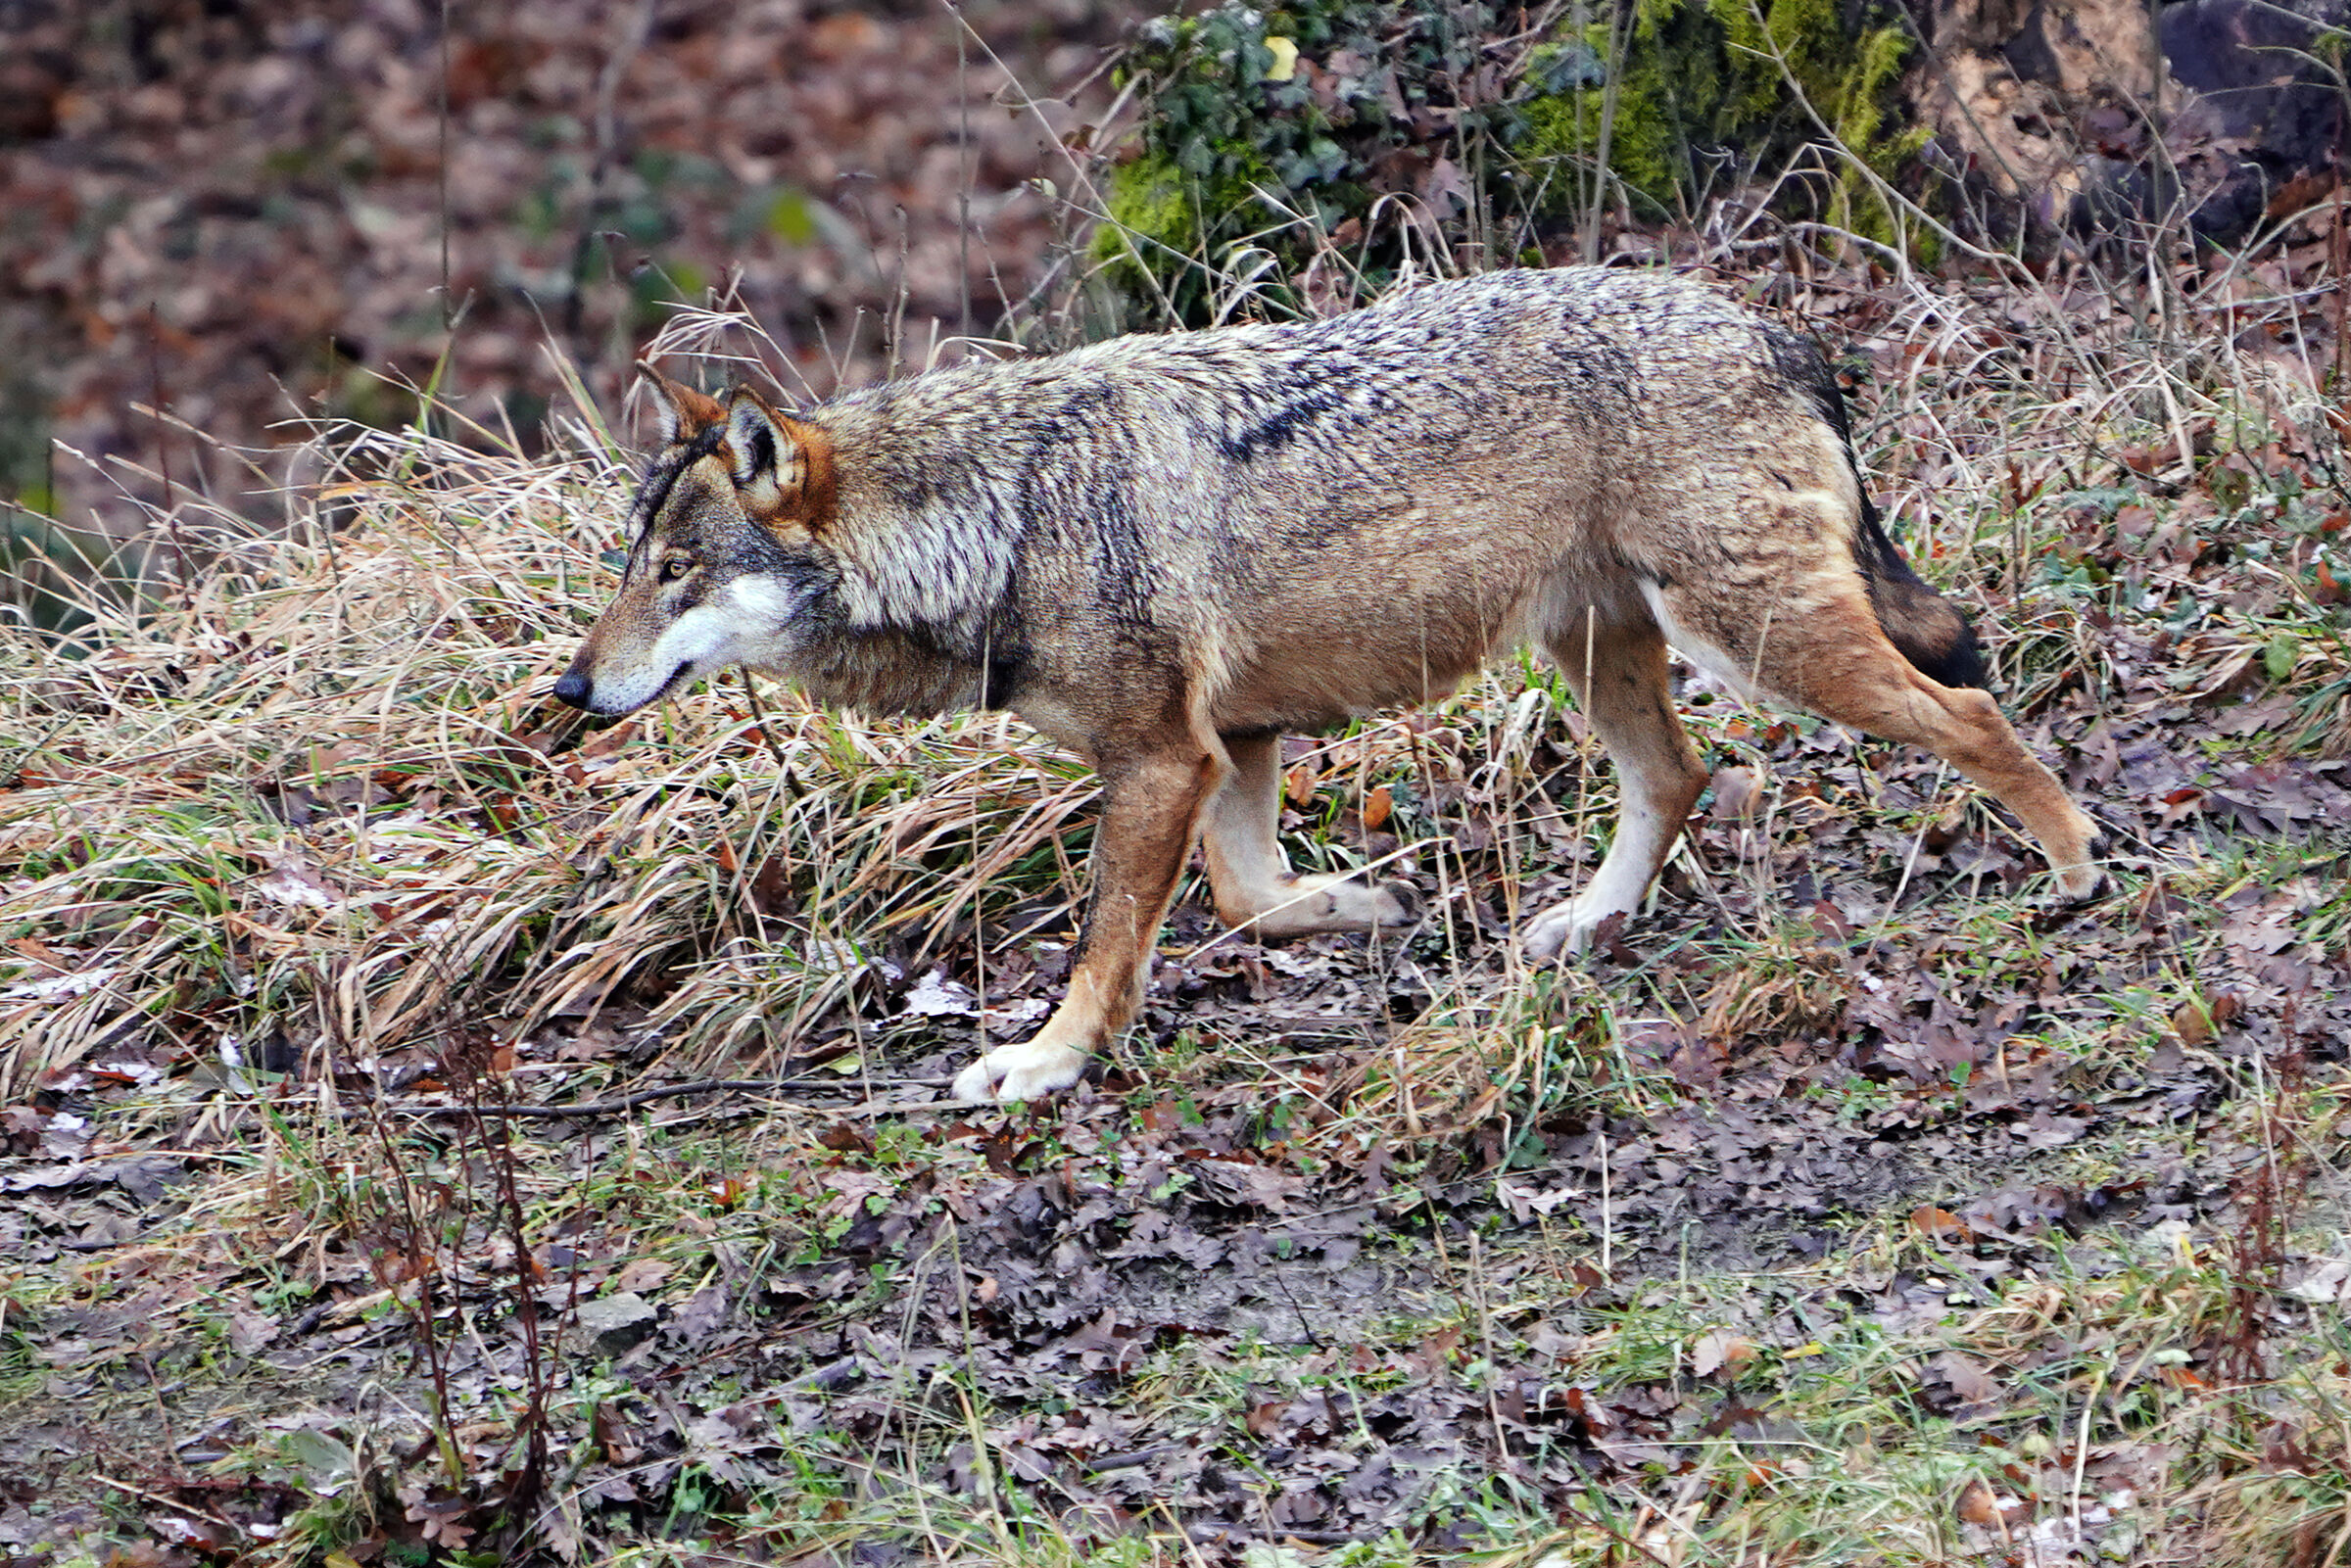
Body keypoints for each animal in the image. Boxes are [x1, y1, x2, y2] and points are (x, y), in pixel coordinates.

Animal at [553, 267, 2105, 1102]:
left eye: (676, 573)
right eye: (630, 563)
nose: (569, 691)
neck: (1004, 514)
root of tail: (1770, 327)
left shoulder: (1160, 759)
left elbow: (1106, 947)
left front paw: (1045, 1065)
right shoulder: (1229, 741)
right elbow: (1246, 893)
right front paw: (1358, 906)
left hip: (1755, 639)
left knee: (1967, 709)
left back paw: (2077, 869)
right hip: (1603, 653)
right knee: (1679, 777)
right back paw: (1583, 927)